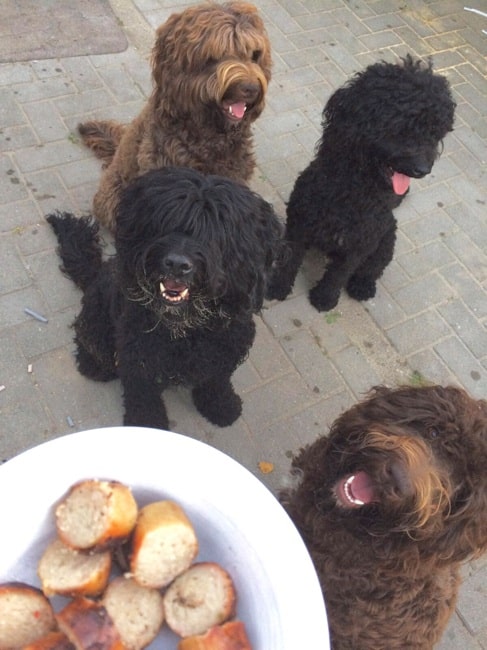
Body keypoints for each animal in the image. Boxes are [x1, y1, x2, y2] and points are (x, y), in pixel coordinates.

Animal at [47, 167, 284, 428]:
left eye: (217, 232)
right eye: (167, 222)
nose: (177, 264)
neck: (186, 329)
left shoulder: (225, 352)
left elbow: (217, 381)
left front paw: (221, 406)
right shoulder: (138, 360)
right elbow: (144, 398)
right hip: (97, 317)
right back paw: (93, 364)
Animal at [266, 53, 458, 312]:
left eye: (435, 133)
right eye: (401, 126)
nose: (423, 170)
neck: (352, 194)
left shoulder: (360, 244)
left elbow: (339, 273)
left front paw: (325, 298)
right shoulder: (299, 226)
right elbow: (291, 260)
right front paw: (278, 287)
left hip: (386, 241)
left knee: (372, 269)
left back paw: (363, 286)